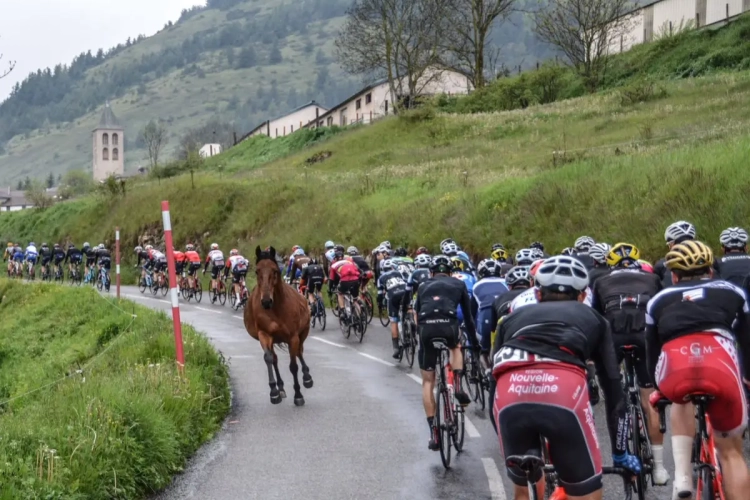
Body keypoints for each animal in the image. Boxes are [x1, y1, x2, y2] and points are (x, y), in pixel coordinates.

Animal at [245, 246, 312, 406]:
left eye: (275, 270)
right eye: (257, 271)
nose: (266, 301)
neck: (276, 309)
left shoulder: (293, 337)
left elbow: (293, 366)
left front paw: (298, 395)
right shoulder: (264, 335)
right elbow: (269, 358)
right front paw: (274, 392)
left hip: (302, 333)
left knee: (299, 352)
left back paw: (307, 378)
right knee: (275, 358)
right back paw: (280, 388)